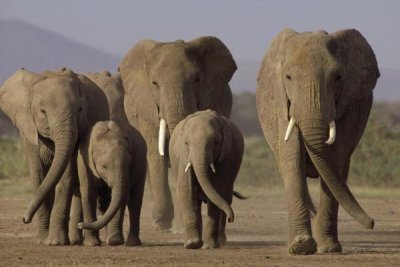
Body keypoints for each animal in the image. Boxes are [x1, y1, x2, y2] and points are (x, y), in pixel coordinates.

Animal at [119, 36, 238, 231]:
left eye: (197, 79)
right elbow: (155, 152)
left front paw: (180, 227)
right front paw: (163, 222)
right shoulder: (145, 108)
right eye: (154, 84)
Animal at [169, 110, 244, 250]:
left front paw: (209, 247)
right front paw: (192, 244)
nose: (232, 218)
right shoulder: (183, 157)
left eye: (216, 143)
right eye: (186, 144)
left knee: (226, 198)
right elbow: (186, 189)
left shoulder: (227, 157)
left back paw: (220, 241)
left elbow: (218, 189)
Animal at [255, 29, 380, 255]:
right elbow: (292, 156)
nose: (372, 223)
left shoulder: (350, 105)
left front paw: (328, 248)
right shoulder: (281, 103)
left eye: (338, 78)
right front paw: (301, 246)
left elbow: (336, 160)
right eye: (288, 77)